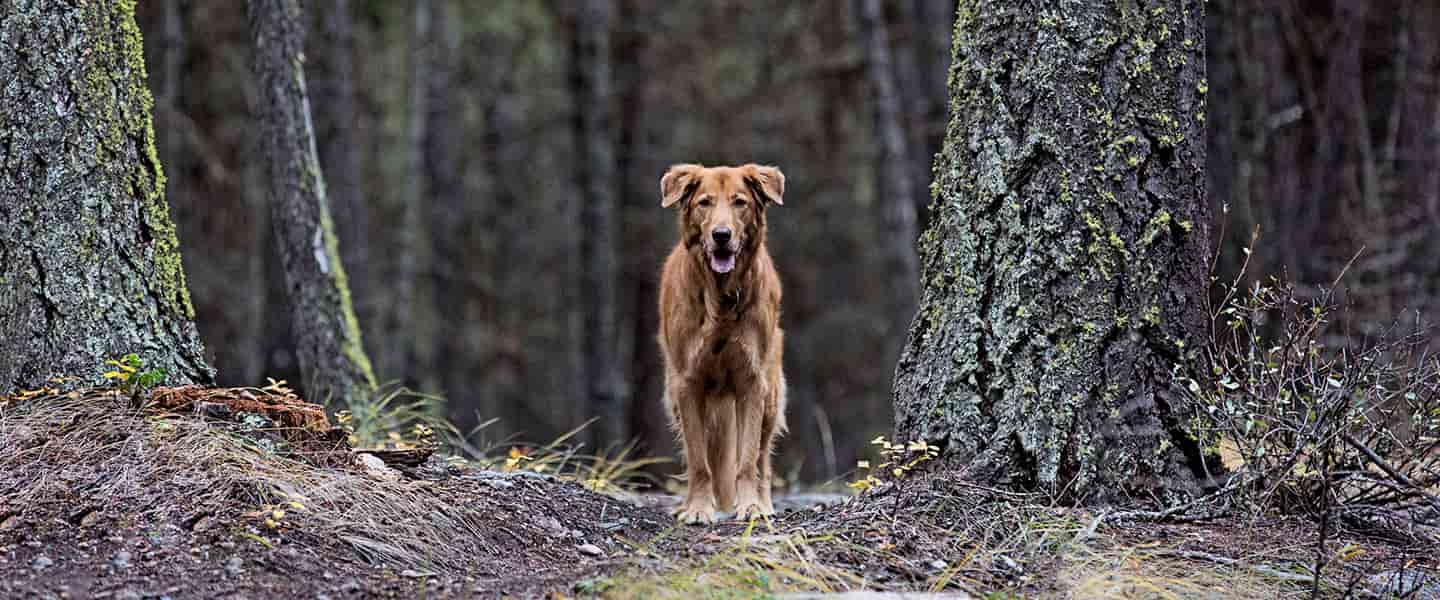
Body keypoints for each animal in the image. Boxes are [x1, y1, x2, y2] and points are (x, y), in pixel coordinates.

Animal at [659, 161, 794, 520]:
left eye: (739, 202)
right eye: (704, 203)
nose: (722, 236)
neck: (720, 297)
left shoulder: (752, 381)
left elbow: (746, 460)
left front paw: (750, 506)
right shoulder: (687, 384)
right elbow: (698, 460)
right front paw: (697, 508)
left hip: (771, 396)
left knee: (763, 459)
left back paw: (764, 502)